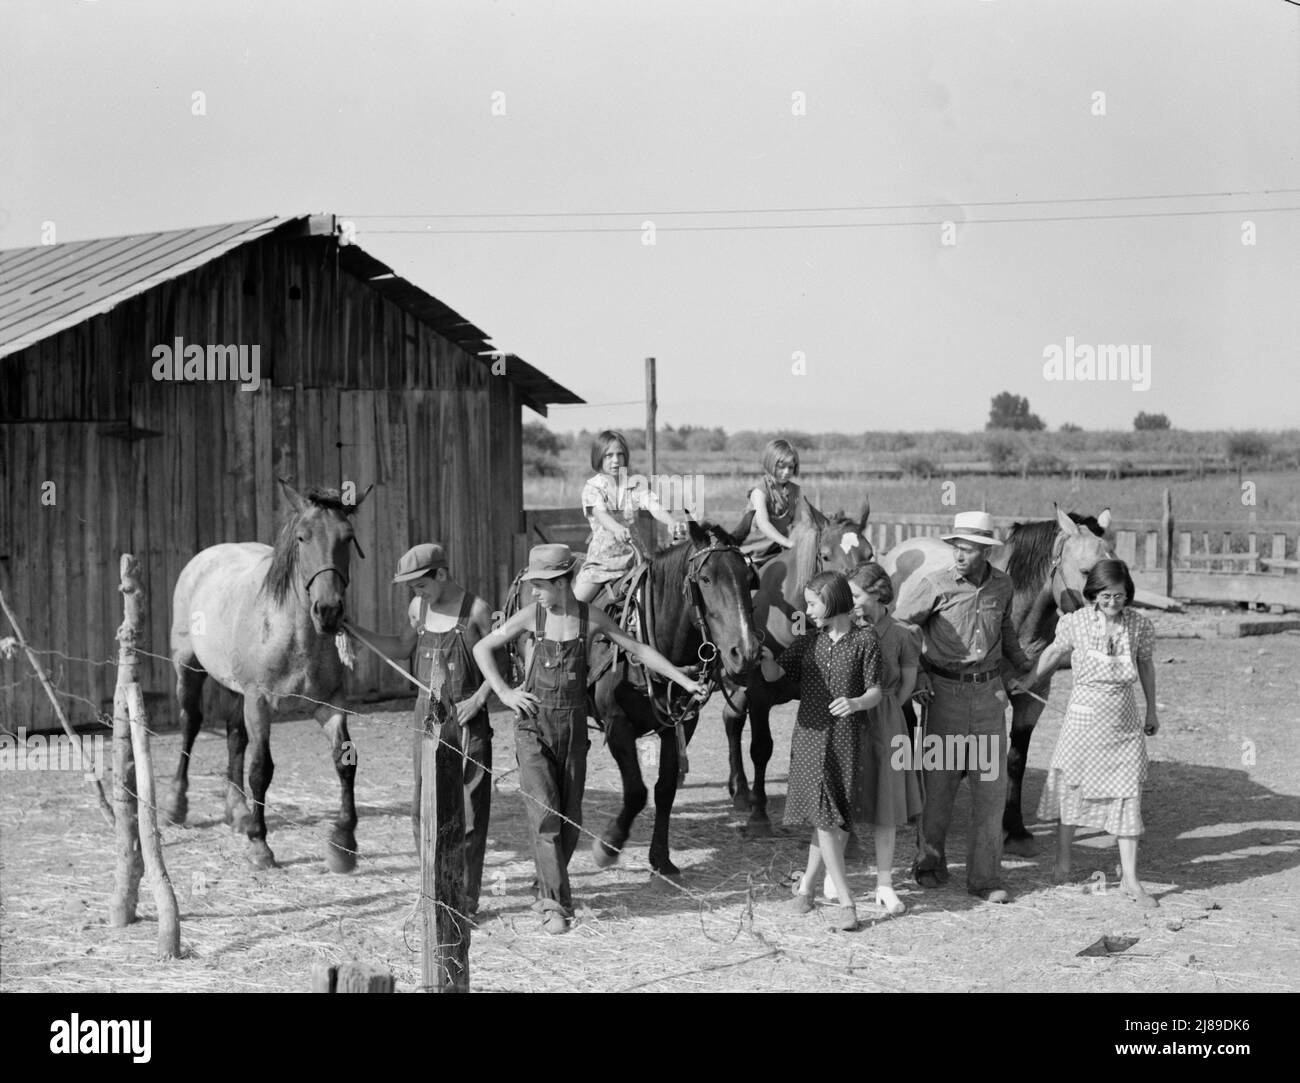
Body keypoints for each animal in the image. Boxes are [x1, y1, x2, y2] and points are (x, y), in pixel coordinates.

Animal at [163, 481, 366, 868]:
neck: (296, 636)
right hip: (189, 667)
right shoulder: (259, 702)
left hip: (235, 689)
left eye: (348, 537)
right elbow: (261, 768)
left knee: (233, 737)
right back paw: (176, 806)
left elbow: (345, 761)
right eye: (302, 537)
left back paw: (238, 811)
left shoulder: (329, 704)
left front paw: (343, 843)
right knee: (190, 724)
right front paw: (260, 843)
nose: (328, 611)